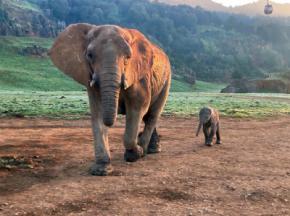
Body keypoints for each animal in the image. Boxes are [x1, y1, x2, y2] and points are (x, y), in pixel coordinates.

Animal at [49, 23, 171, 176]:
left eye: (128, 57)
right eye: (89, 55)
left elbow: (137, 108)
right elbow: (98, 113)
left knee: (152, 115)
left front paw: (134, 154)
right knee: (147, 117)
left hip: (166, 80)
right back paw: (149, 148)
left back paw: (146, 150)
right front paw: (101, 170)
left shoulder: (140, 77)